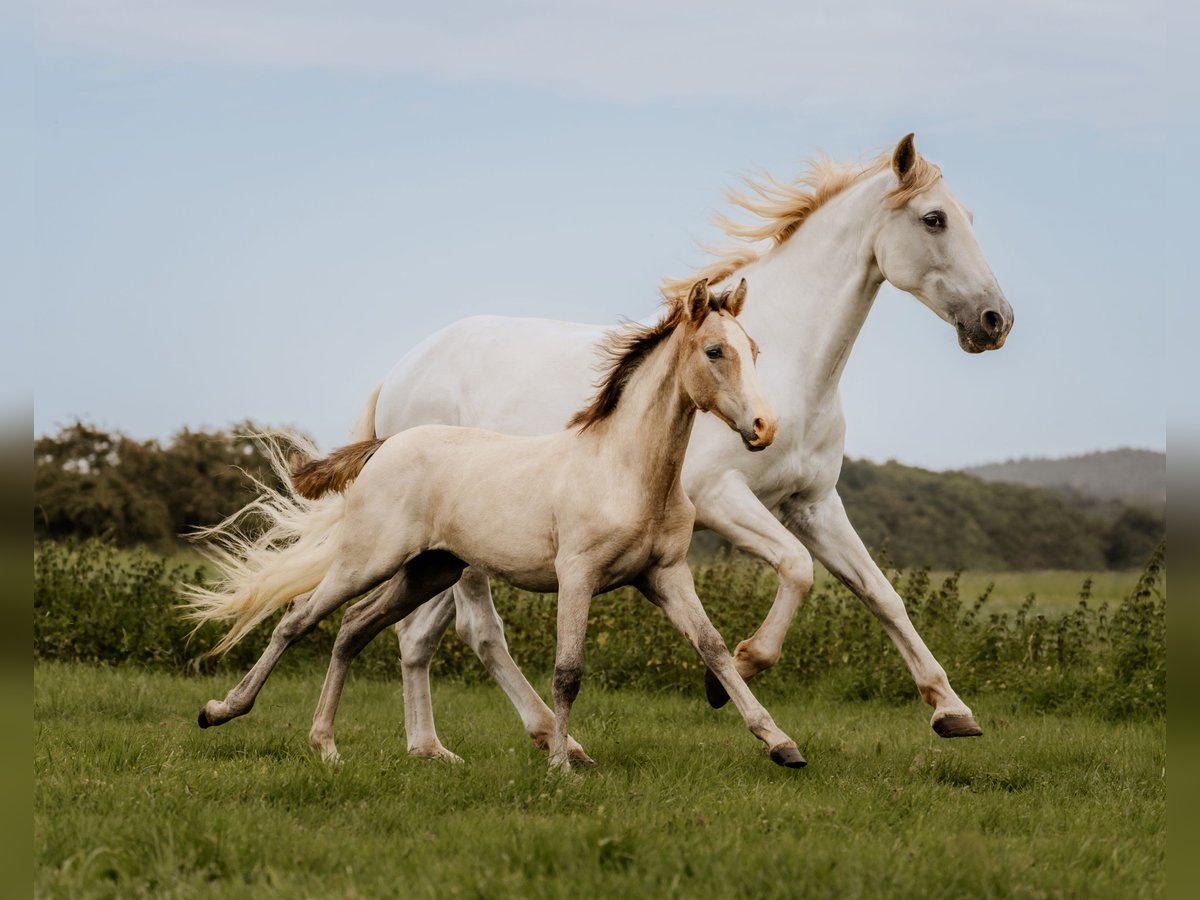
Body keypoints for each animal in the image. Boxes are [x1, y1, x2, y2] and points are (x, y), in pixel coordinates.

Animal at [192, 285, 806, 772]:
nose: (764, 427)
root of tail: (385, 445)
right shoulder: (577, 575)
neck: (626, 470)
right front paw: (561, 764)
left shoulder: (666, 575)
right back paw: (221, 711)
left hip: (429, 570)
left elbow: (714, 648)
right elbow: (568, 670)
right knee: (299, 618)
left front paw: (782, 745)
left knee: (353, 627)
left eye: (754, 350)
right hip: (367, 559)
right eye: (715, 351)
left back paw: (327, 745)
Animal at [355, 132, 1012, 763]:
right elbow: (797, 570)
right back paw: (553, 740)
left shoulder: (814, 503)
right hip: (465, 554)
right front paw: (728, 678)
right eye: (933, 219)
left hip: (446, 554)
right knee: (478, 631)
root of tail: (399, 376)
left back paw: (430, 748)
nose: (995, 320)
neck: (789, 370)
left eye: (968, 216)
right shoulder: (722, 499)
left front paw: (951, 711)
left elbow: (881, 593)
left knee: (417, 636)